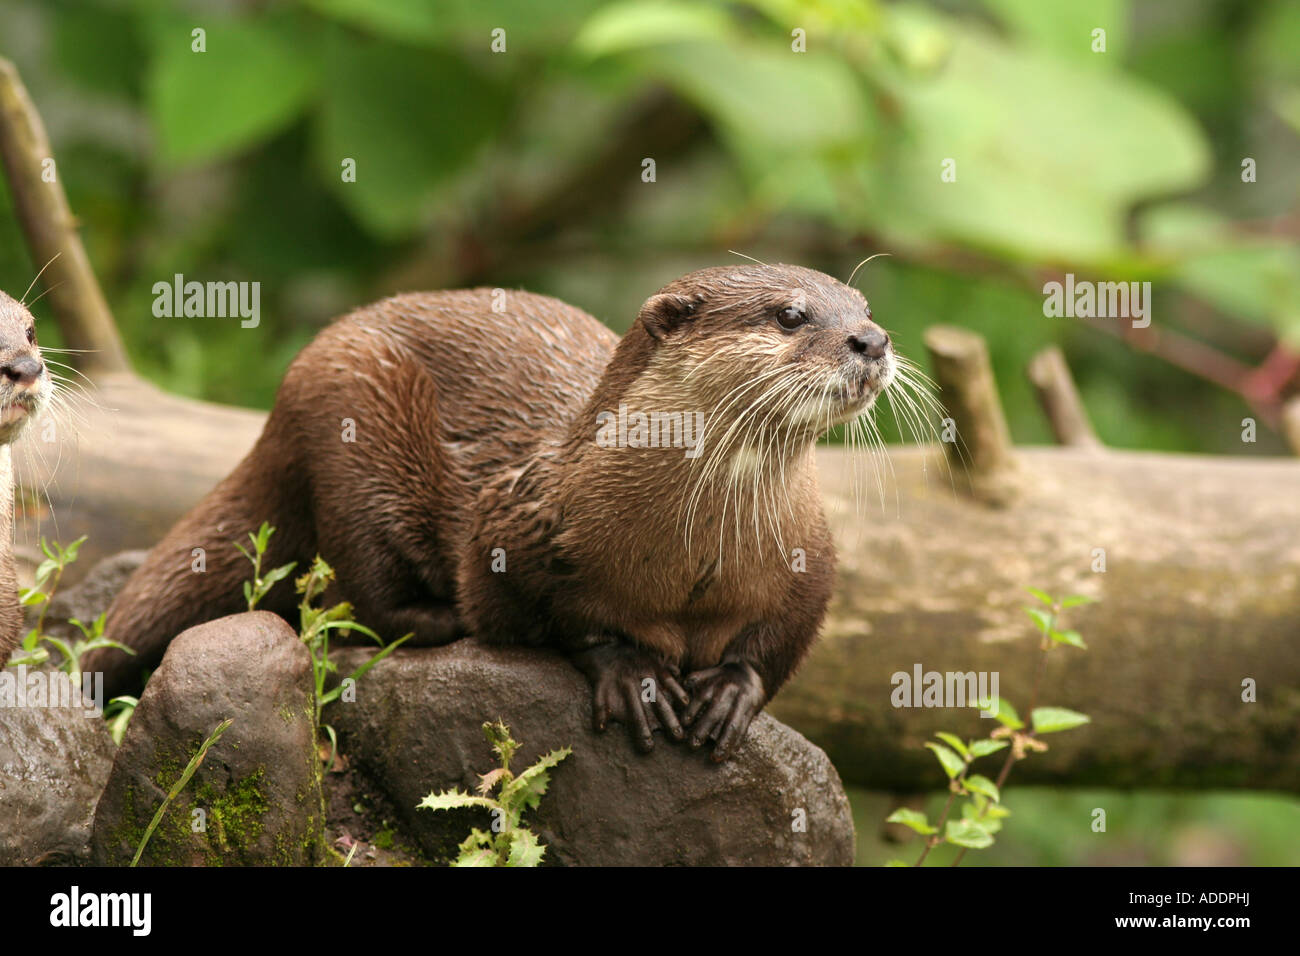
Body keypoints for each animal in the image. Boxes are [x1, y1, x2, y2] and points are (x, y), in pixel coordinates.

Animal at [92, 264, 897, 760]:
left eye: (863, 308)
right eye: (790, 315)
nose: (874, 339)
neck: (695, 557)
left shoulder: (814, 561)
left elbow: (783, 640)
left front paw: (732, 690)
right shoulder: (515, 526)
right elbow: (538, 611)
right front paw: (631, 670)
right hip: (349, 418)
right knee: (366, 590)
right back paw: (435, 618)